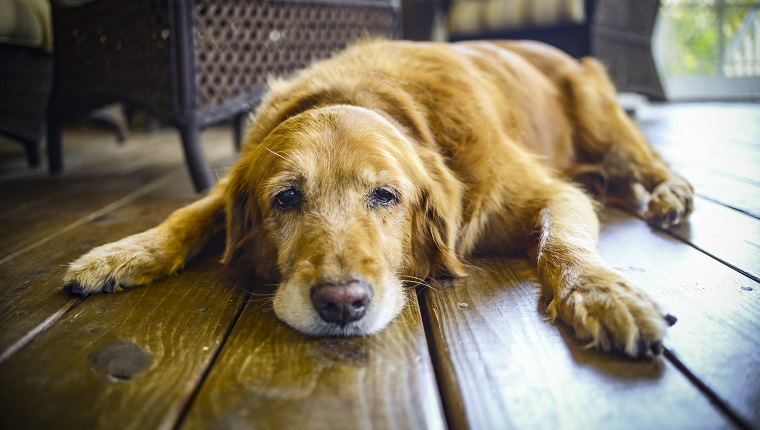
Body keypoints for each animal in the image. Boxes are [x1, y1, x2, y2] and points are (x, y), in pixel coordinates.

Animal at [63, 39, 696, 356]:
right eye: (285, 199)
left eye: (386, 195)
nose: (341, 303)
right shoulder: (230, 183)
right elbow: (188, 213)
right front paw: (121, 254)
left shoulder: (549, 192)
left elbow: (561, 244)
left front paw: (602, 294)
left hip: (598, 109)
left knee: (647, 161)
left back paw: (671, 193)